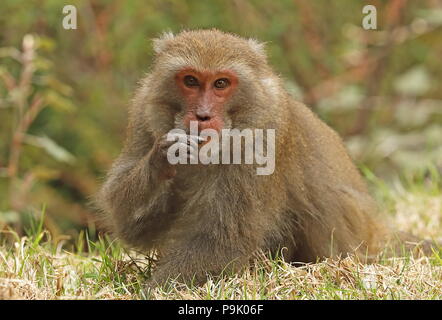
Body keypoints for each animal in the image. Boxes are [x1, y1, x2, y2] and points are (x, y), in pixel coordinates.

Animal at [96, 28, 436, 286]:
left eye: (221, 83)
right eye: (190, 81)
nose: (202, 115)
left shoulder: (263, 137)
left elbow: (224, 241)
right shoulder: (144, 111)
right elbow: (132, 226)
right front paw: (164, 157)